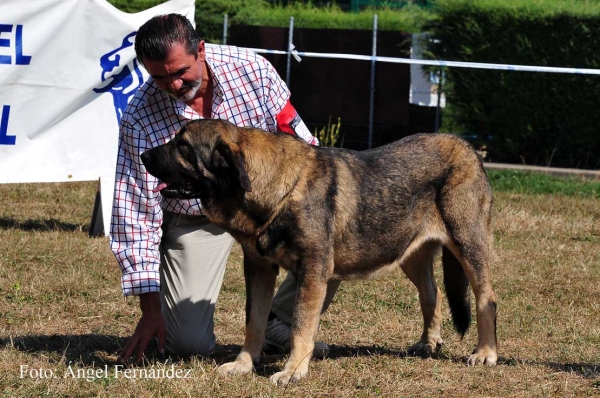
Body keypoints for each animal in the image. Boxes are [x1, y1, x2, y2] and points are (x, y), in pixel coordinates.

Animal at [141, 119, 496, 386]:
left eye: (183, 146)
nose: (143, 154)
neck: (279, 190)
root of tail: (467, 147)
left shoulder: (312, 271)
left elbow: (301, 324)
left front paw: (292, 371)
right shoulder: (258, 268)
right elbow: (254, 320)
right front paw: (244, 364)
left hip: (467, 243)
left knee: (485, 298)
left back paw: (485, 353)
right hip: (409, 252)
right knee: (431, 293)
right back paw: (428, 342)